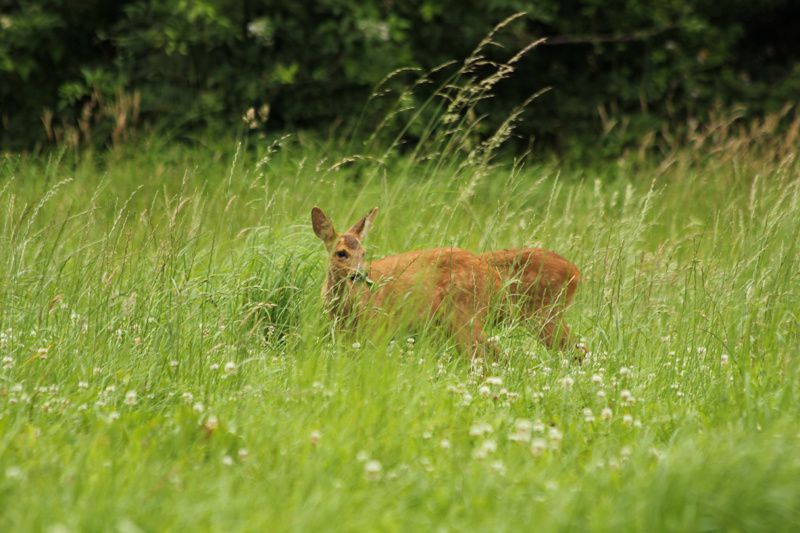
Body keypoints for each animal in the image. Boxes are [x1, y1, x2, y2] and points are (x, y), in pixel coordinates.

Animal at [310, 205, 580, 358]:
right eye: (341, 253)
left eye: (364, 253)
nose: (359, 275)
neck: (344, 307)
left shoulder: (377, 325)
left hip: (469, 316)